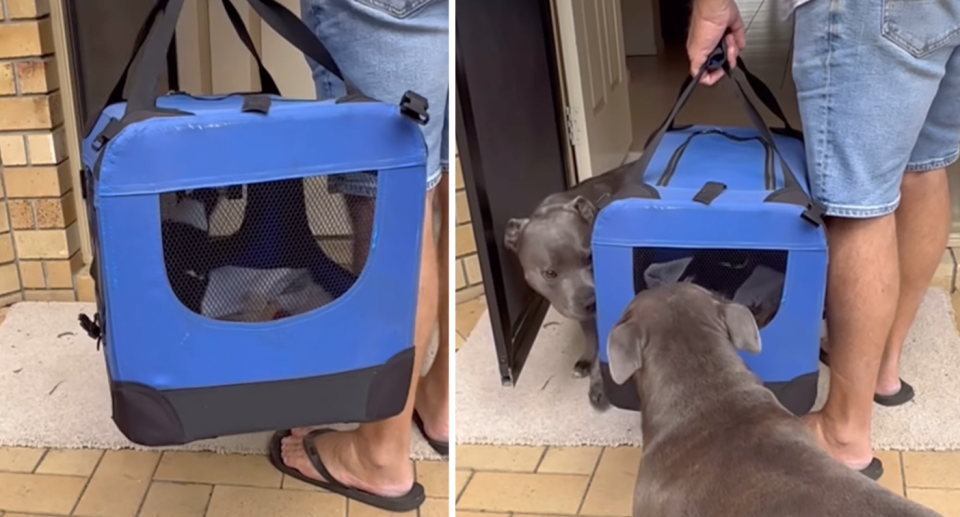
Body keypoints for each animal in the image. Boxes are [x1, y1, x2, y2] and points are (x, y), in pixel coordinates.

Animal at [502, 162, 632, 412]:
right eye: (550, 273)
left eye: (590, 257)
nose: (591, 301)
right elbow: (590, 336)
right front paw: (585, 361)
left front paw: (599, 386)